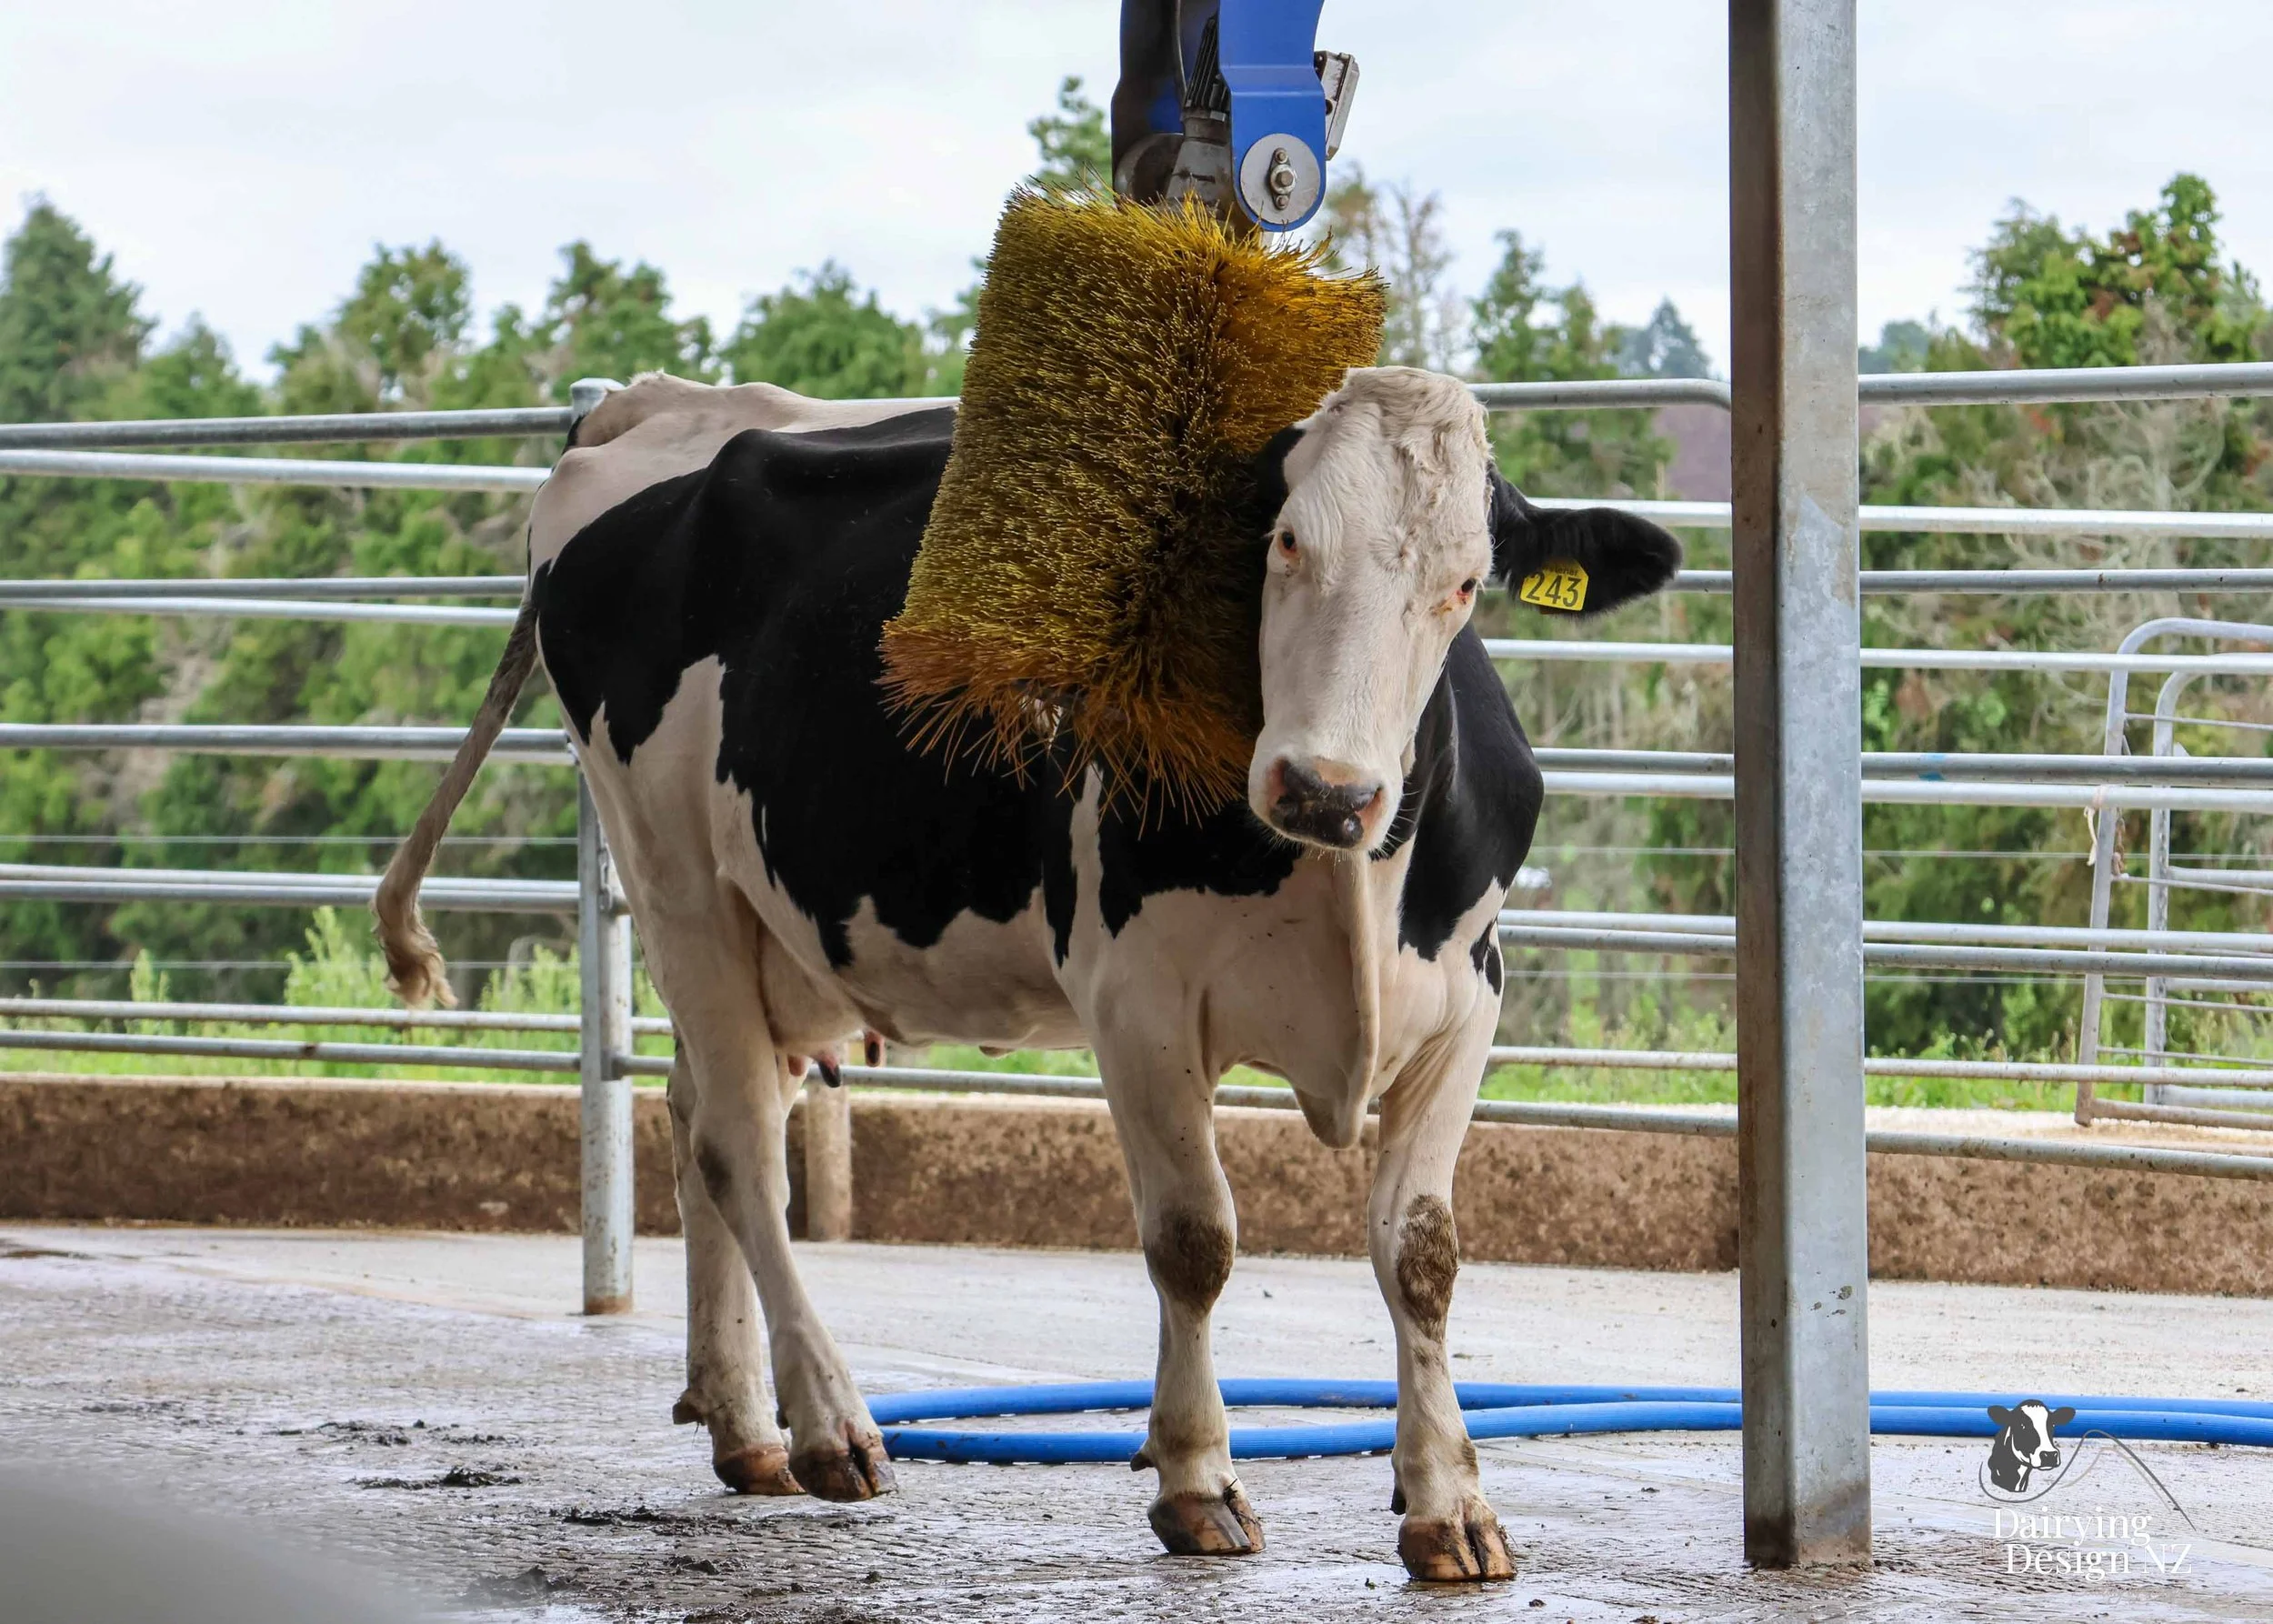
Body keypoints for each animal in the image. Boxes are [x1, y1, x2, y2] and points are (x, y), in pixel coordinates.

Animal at [374, 365, 1680, 1581]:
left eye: (1463, 584)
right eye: (1284, 542)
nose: (1327, 786)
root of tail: (659, 403)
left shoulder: (1466, 1002)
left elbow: (1421, 1256)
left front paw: (1449, 1503)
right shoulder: (1136, 998)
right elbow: (1195, 1240)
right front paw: (1197, 1480)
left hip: (766, 928)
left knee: (698, 1116)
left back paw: (744, 1423)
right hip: (675, 876)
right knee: (741, 1143)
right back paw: (830, 1424)